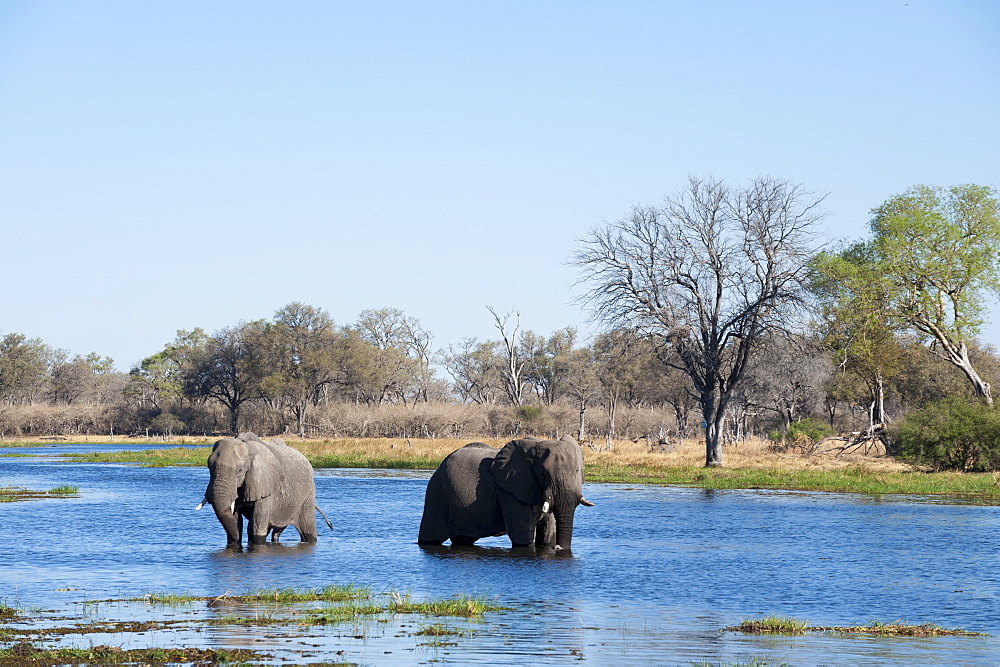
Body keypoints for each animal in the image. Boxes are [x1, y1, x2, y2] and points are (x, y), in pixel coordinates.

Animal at [196, 434, 332, 548]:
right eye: (209, 468)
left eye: (240, 470)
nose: (236, 541)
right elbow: (238, 521)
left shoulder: (266, 484)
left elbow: (256, 525)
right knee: (276, 532)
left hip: (308, 493)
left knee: (307, 529)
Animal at [416, 436, 592, 552]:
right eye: (542, 474)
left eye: (577, 471)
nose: (559, 548)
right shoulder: (509, 493)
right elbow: (523, 538)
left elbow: (547, 535)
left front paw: (550, 545)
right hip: (436, 493)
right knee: (430, 539)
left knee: (462, 540)